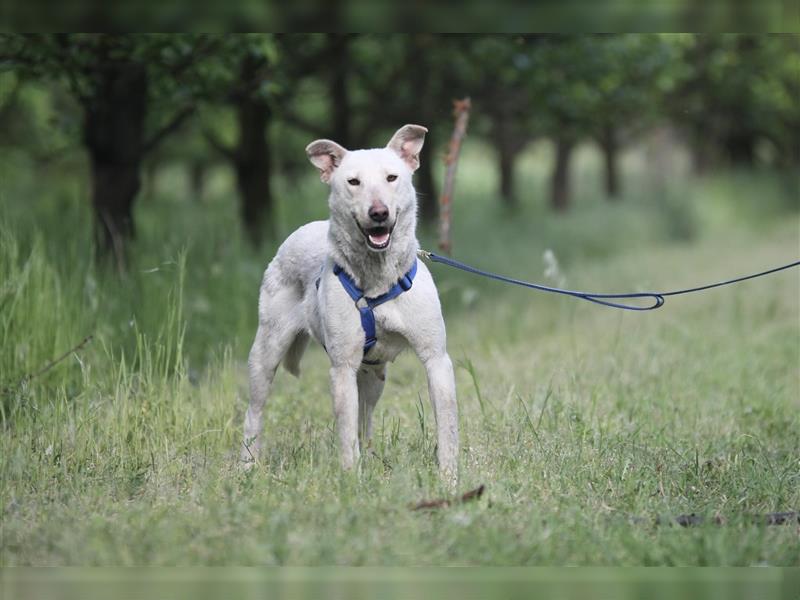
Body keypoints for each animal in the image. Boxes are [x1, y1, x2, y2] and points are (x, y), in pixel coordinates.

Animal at [241, 124, 460, 480]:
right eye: (353, 182)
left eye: (391, 178)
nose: (378, 213)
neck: (379, 280)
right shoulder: (342, 368)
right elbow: (344, 434)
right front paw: (350, 481)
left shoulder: (437, 360)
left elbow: (448, 427)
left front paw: (449, 480)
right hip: (266, 352)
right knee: (254, 411)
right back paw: (246, 466)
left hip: (373, 377)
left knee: (365, 419)